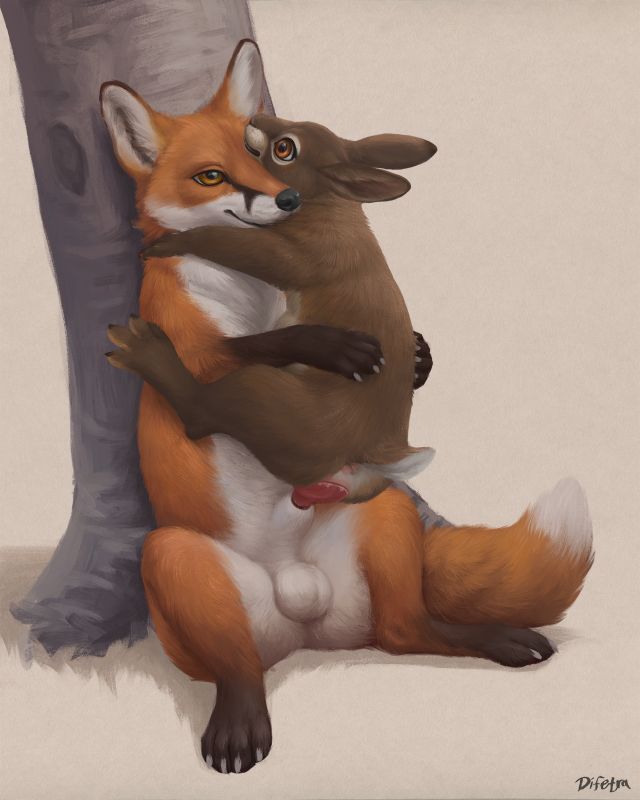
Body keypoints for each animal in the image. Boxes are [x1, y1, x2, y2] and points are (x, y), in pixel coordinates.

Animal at [100, 39, 594, 775]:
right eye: (212, 175)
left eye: (273, 151)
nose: (282, 197)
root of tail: (301, 615)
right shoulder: (198, 333)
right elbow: (243, 341)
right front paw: (344, 347)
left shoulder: (285, 267)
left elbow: (258, 317)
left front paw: (400, 355)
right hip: (174, 557)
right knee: (239, 670)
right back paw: (239, 723)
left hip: (381, 517)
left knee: (410, 631)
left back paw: (498, 640)